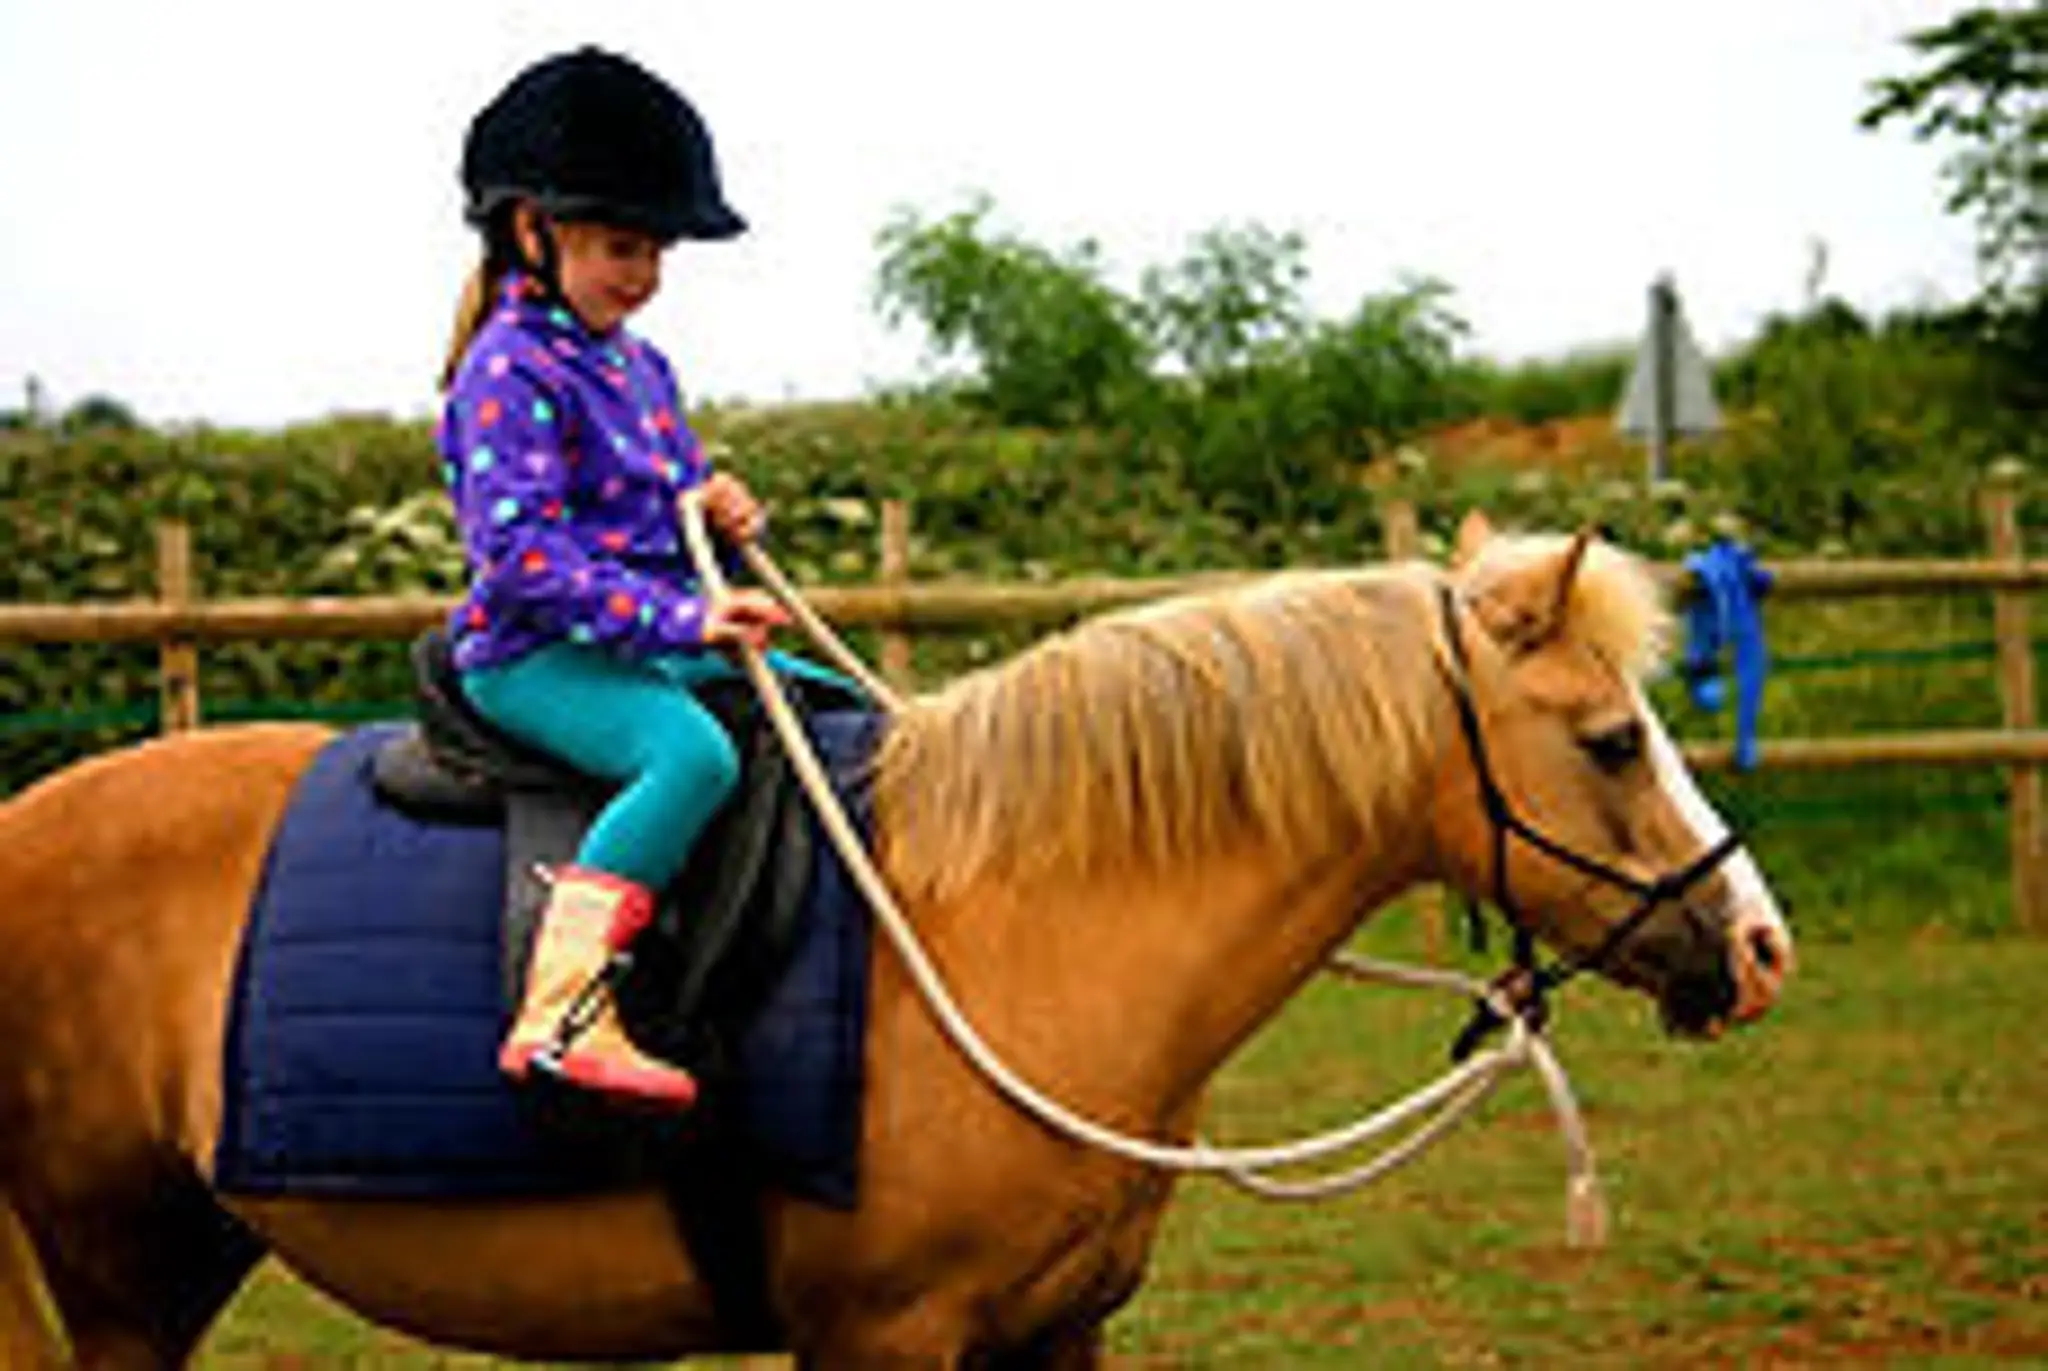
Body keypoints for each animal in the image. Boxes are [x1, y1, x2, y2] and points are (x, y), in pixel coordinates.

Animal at [0, 512, 1793, 1368]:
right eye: (1611, 740)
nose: (1760, 942)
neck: (1022, 925)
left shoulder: (1056, 1332)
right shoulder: (882, 1337)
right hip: (118, 1263)